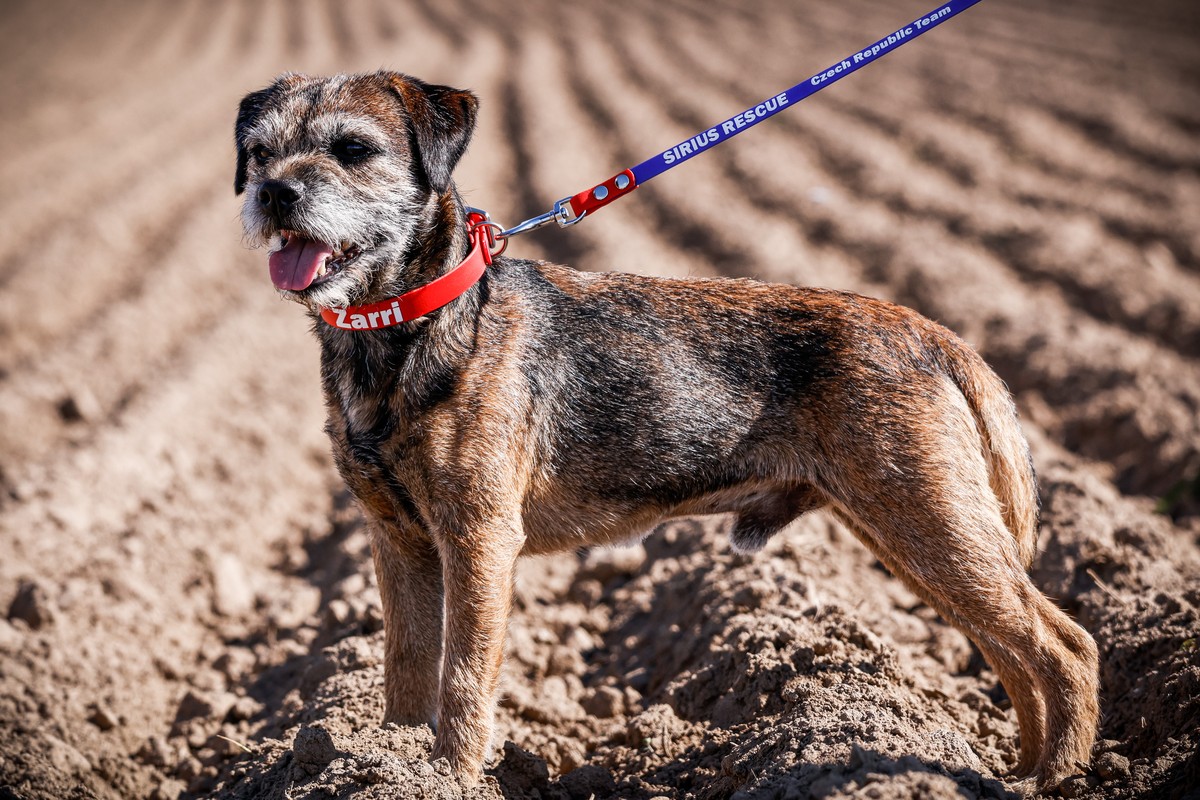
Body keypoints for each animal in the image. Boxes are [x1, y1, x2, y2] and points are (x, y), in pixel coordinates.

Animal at [231, 71, 1099, 791]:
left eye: (353, 149)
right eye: (259, 151)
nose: (273, 193)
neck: (410, 320)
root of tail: (930, 332)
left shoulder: (479, 539)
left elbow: (464, 678)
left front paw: (447, 776)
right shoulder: (397, 540)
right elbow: (407, 667)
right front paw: (388, 760)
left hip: (930, 521)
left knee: (1065, 647)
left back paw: (1056, 775)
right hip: (918, 533)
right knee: (1012, 651)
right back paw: (1016, 769)